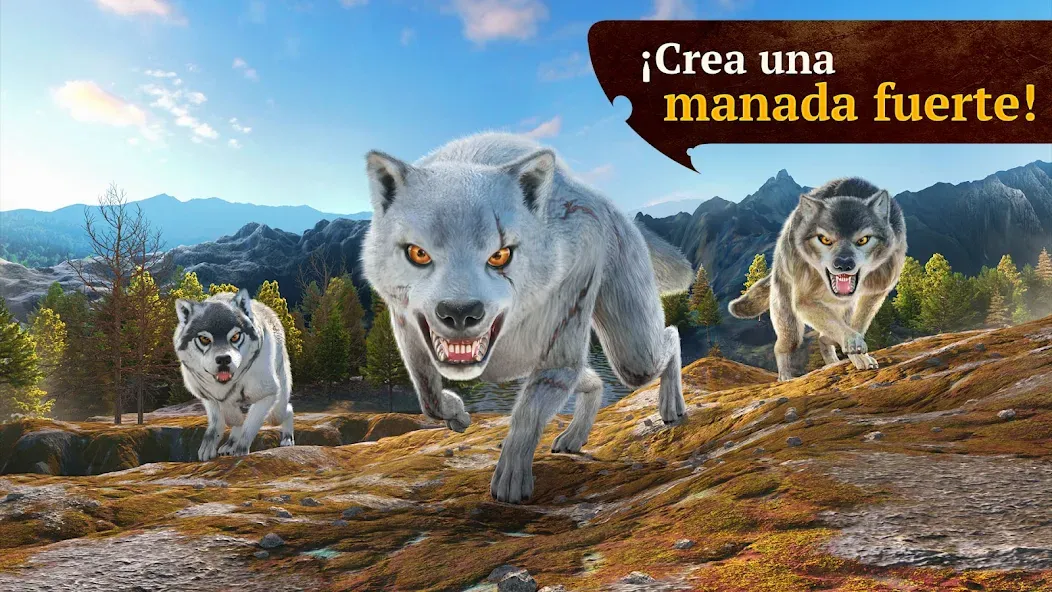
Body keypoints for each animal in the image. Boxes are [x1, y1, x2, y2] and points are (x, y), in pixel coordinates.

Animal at [173, 289, 294, 461]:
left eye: (235, 336)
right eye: (204, 339)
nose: (224, 359)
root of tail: (265, 308)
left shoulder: (267, 394)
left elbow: (250, 426)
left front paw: (241, 450)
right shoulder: (208, 397)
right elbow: (218, 422)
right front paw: (209, 448)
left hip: (276, 412)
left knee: (287, 409)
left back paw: (287, 439)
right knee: (237, 419)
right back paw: (229, 445)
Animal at [360, 132, 694, 503]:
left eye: (499, 255)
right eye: (418, 253)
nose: (460, 312)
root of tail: (611, 206)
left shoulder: (560, 347)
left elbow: (526, 415)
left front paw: (510, 482)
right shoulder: (406, 329)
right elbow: (428, 395)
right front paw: (457, 415)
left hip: (632, 356)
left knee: (670, 335)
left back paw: (671, 407)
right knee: (594, 379)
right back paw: (573, 438)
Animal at [729, 177, 907, 381]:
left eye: (863, 240)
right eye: (824, 239)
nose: (843, 264)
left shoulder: (876, 292)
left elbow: (857, 325)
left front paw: (859, 354)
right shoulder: (804, 300)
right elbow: (840, 328)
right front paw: (853, 344)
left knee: (824, 337)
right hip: (791, 328)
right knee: (782, 346)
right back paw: (786, 377)